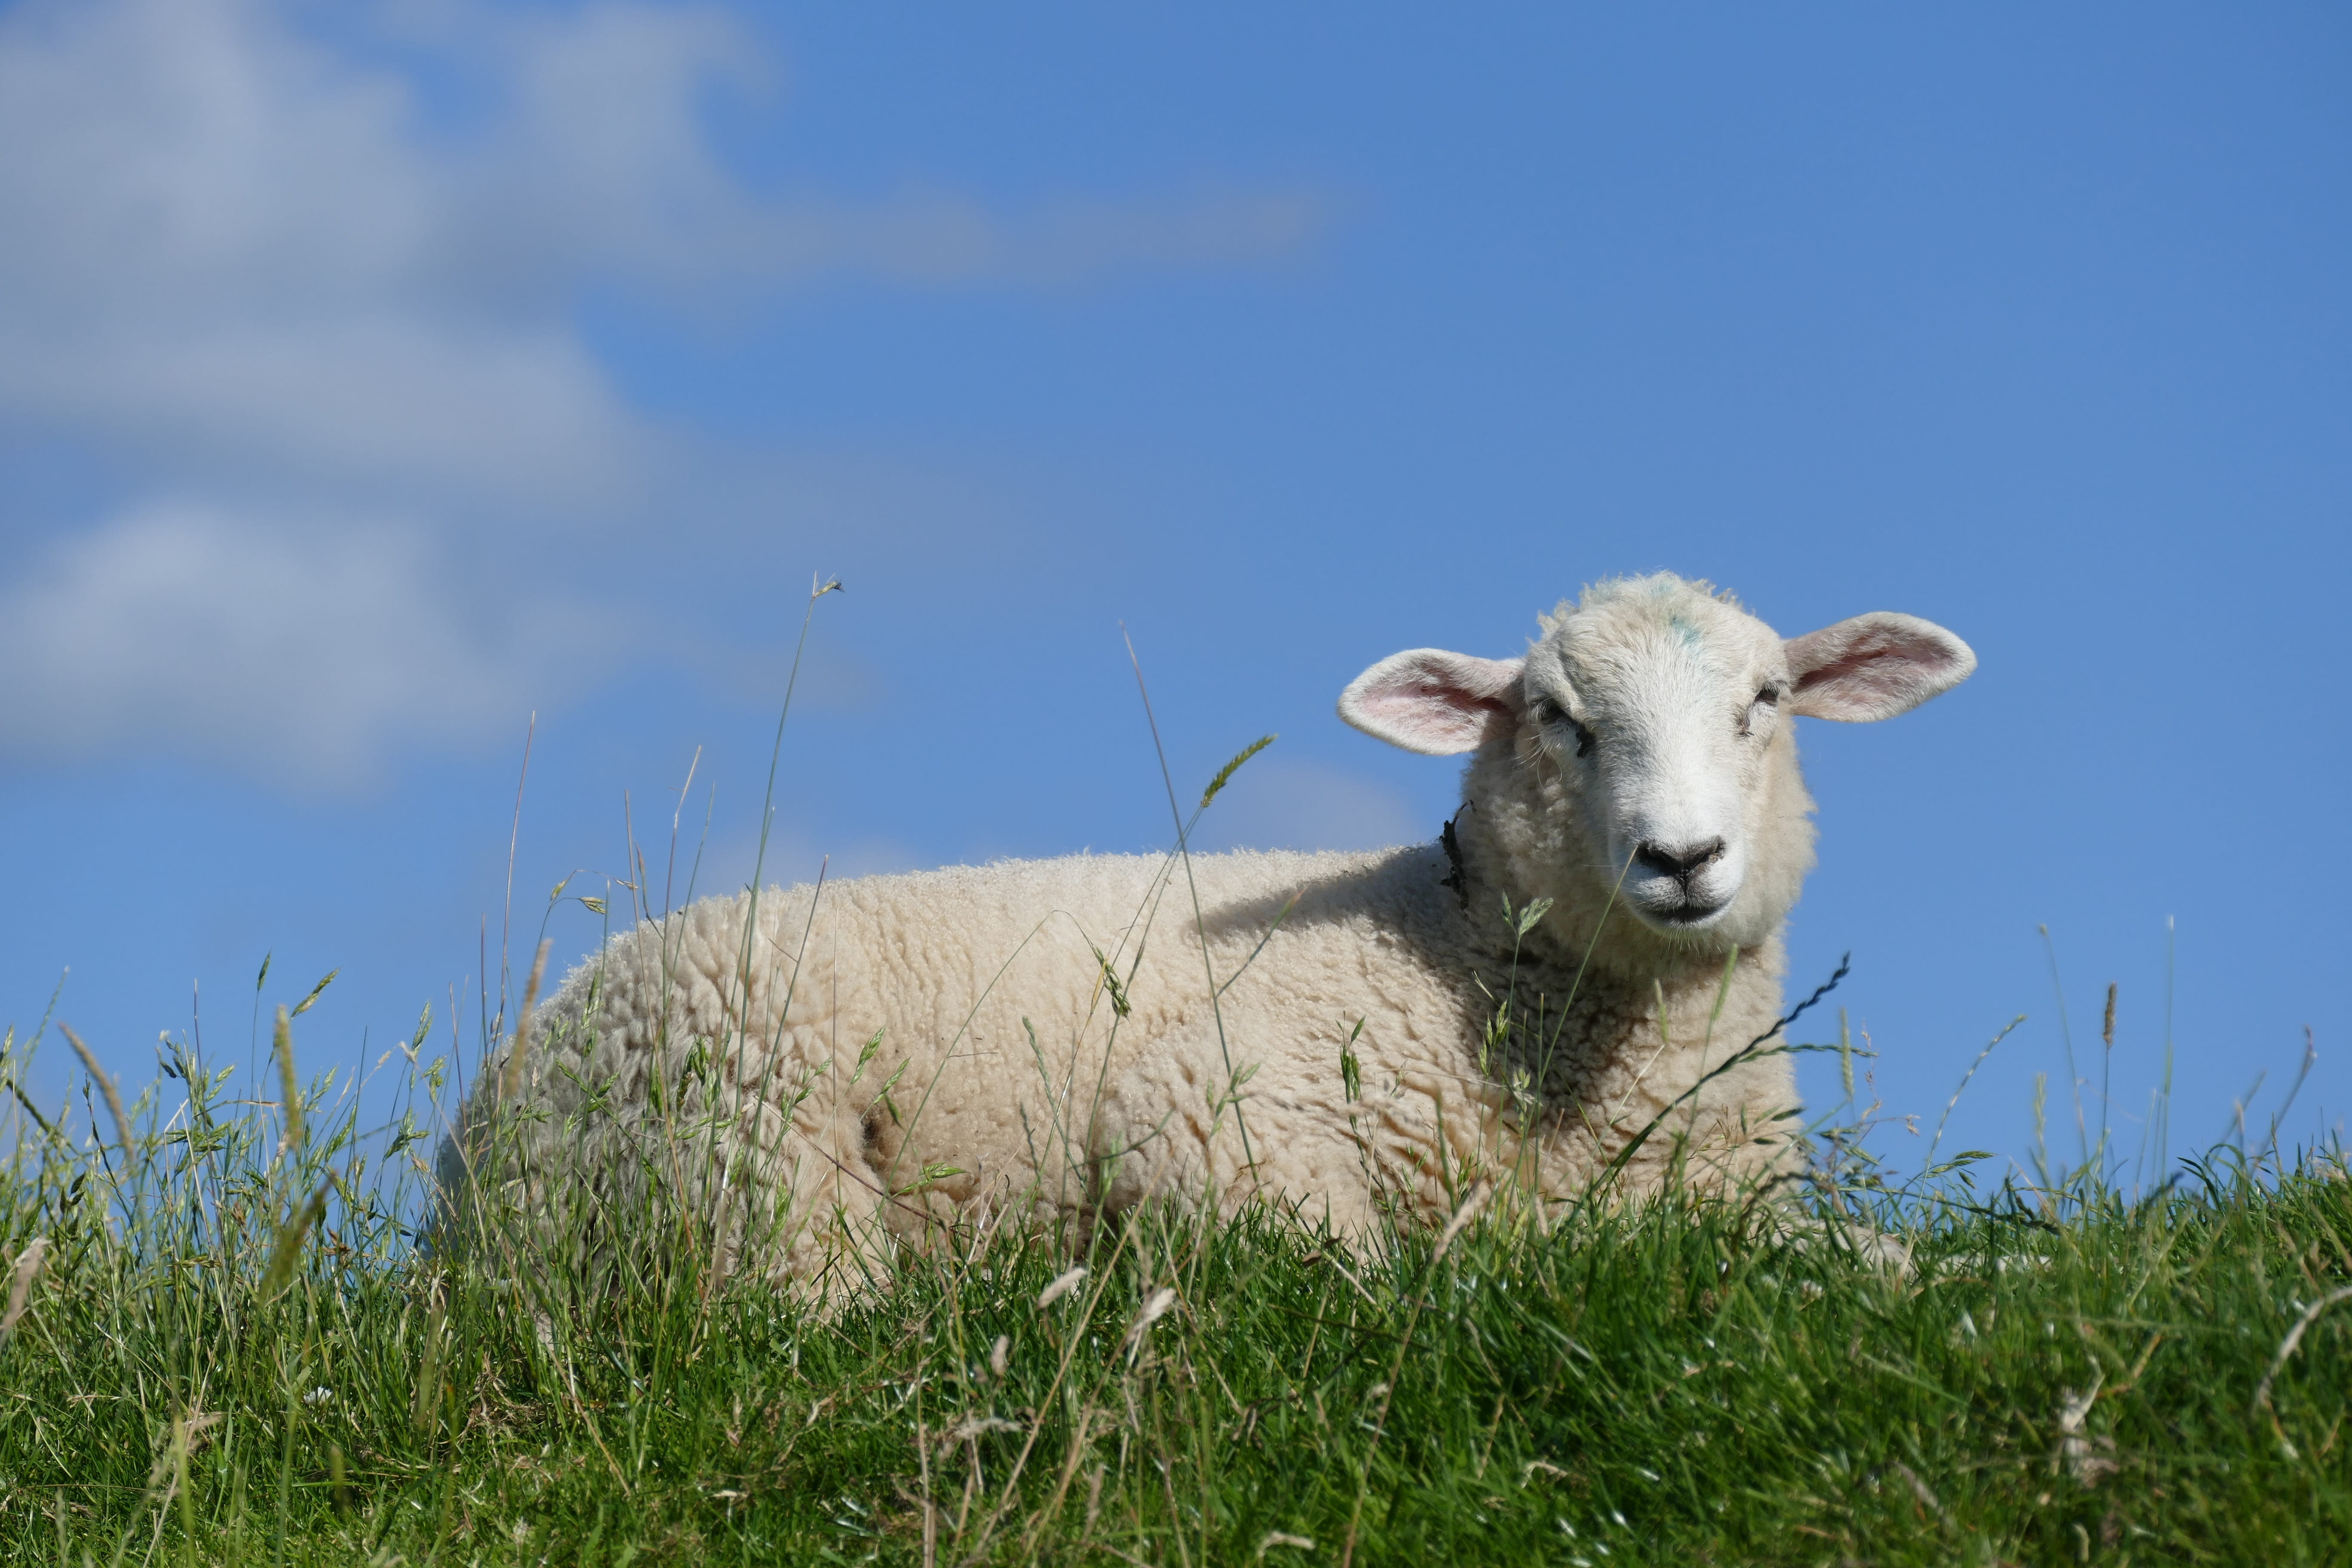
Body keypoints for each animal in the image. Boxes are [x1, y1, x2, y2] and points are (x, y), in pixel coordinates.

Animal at [438, 573, 1973, 1294]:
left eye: (1768, 701)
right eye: (1559, 718)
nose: (1682, 858)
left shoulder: (1741, 1202)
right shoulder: (1206, 1107)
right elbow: (1374, 1267)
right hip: (749, 1135)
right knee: (812, 1303)